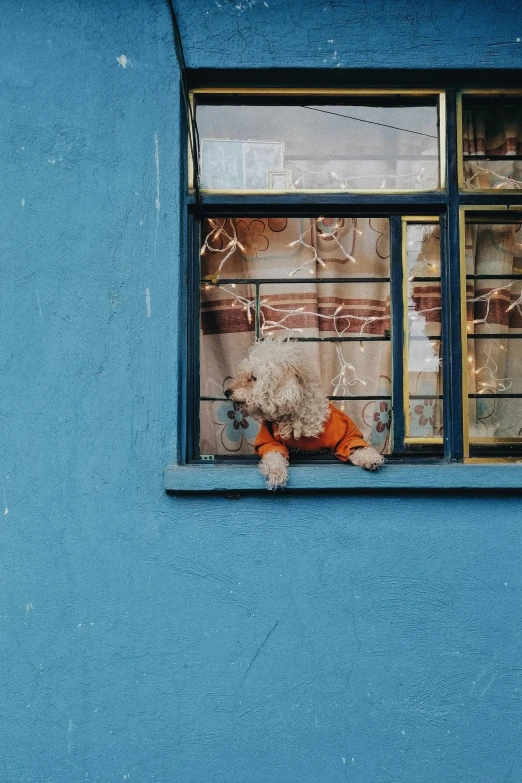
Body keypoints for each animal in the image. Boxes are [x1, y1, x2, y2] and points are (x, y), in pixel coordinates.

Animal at [224, 338, 382, 490]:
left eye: (254, 378)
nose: (227, 392)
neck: (297, 419)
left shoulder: (346, 432)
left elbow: (354, 444)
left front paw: (370, 457)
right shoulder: (268, 440)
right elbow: (274, 455)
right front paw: (276, 473)